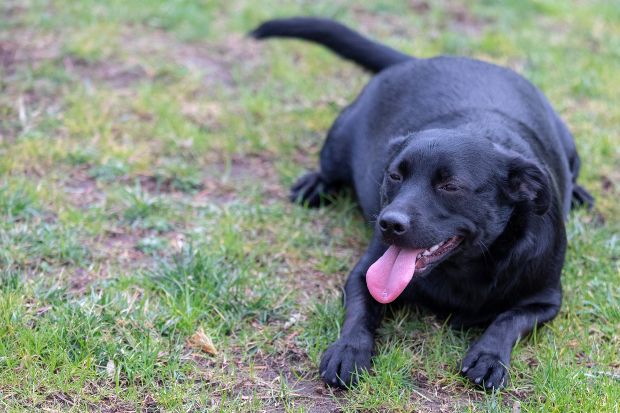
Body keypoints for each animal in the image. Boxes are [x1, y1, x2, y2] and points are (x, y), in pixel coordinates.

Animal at [251, 16, 592, 390]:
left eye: (450, 186)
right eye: (394, 175)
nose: (389, 223)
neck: (465, 270)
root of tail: (417, 60)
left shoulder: (545, 300)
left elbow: (508, 319)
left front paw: (489, 355)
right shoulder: (364, 273)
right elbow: (360, 312)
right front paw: (349, 349)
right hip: (338, 139)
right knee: (329, 168)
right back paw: (316, 184)